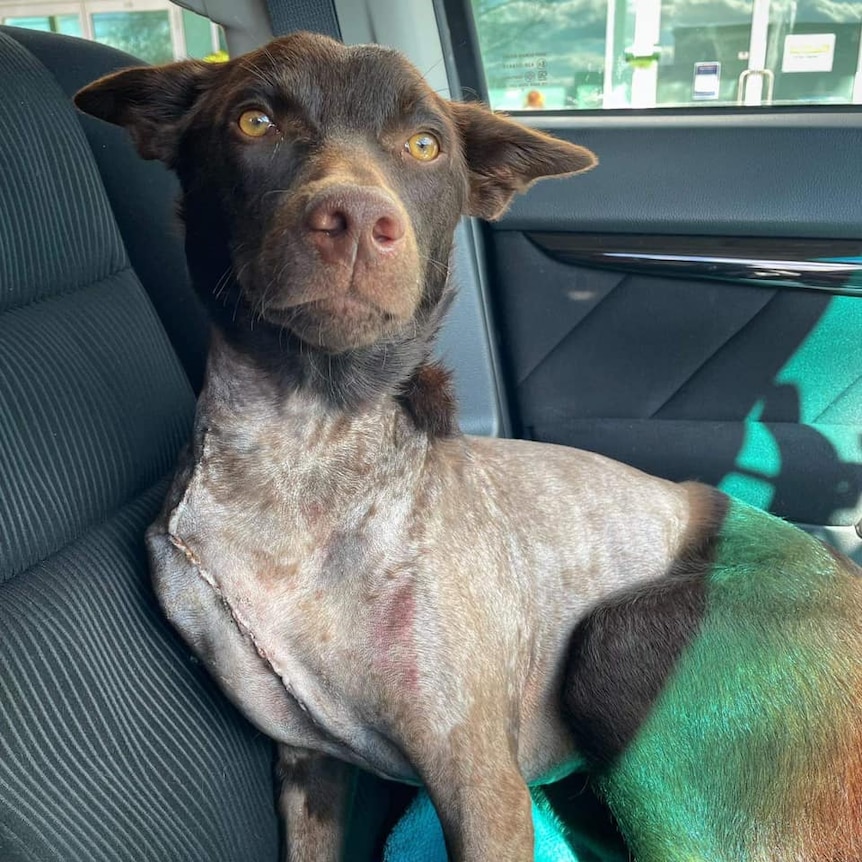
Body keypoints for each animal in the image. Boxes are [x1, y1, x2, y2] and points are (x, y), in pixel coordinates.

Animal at [76, 32, 862, 862]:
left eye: (426, 145)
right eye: (254, 121)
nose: (357, 218)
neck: (305, 443)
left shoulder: (481, 782)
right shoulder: (308, 764)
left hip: (625, 642)